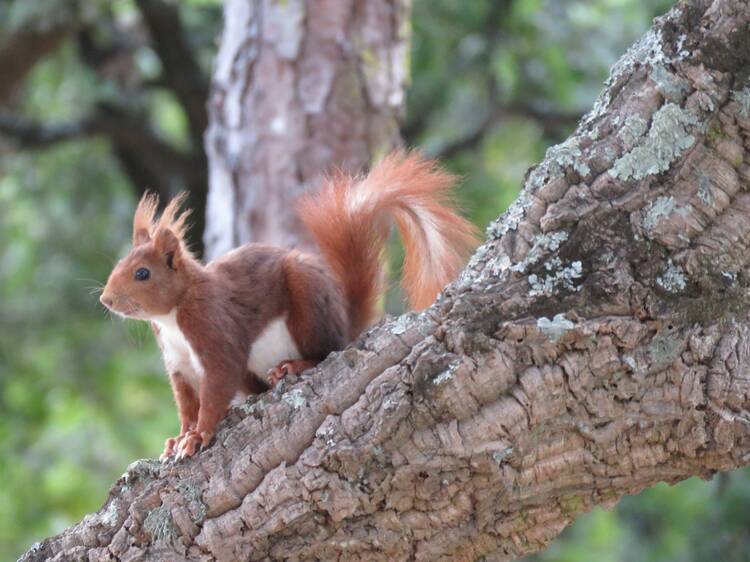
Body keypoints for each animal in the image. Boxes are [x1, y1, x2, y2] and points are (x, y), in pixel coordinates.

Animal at [100, 151, 478, 458]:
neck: (173, 315)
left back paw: (293, 366)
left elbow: (217, 385)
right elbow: (186, 404)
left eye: (143, 273)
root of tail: (345, 326)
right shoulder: (178, 362)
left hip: (307, 304)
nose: (106, 299)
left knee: (327, 350)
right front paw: (177, 438)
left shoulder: (213, 329)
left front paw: (198, 436)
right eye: (118, 264)